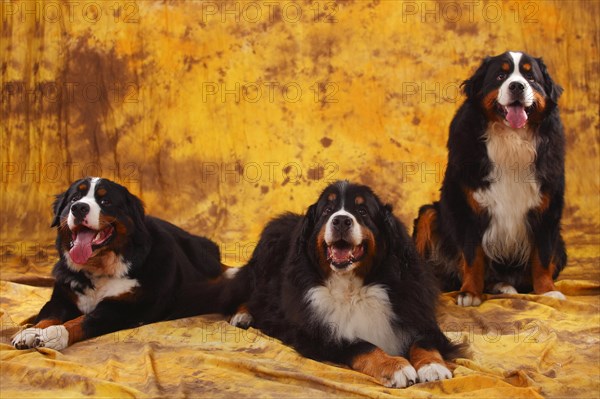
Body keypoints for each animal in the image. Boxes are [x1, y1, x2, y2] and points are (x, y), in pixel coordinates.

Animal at [11, 177, 227, 350]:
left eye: (105, 201)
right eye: (74, 198)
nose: (79, 207)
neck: (99, 266)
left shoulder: (123, 307)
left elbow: (82, 320)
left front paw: (54, 335)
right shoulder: (62, 296)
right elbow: (47, 316)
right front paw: (30, 332)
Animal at [223, 183, 466, 390]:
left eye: (362, 211)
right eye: (327, 210)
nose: (340, 220)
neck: (353, 288)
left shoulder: (416, 312)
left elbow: (424, 341)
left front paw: (433, 366)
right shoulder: (317, 334)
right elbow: (362, 345)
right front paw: (396, 366)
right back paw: (243, 316)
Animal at [414, 51, 564, 308]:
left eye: (531, 77)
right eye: (501, 76)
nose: (517, 86)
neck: (511, 139)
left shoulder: (547, 209)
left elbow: (543, 256)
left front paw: (547, 291)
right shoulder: (467, 207)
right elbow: (473, 256)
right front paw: (470, 293)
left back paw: (504, 286)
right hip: (428, 213)